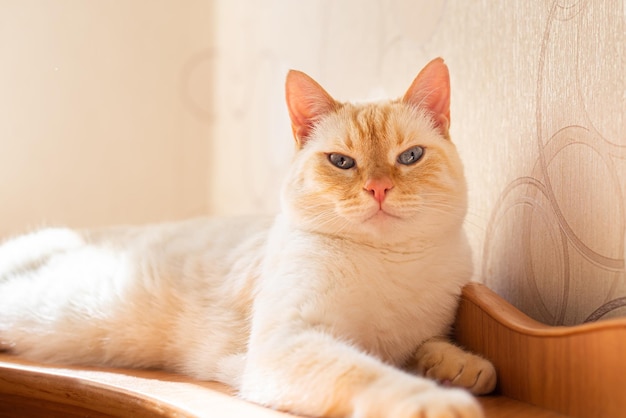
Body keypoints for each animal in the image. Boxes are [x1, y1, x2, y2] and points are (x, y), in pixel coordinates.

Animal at [2, 58, 494, 418]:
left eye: (410, 157)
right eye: (341, 162)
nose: (378, 189)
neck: (390, 262)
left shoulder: (414, 335)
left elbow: (430, 347)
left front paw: (464, 367)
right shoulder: (289, 344)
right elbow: (371, 371)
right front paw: (437, 400)